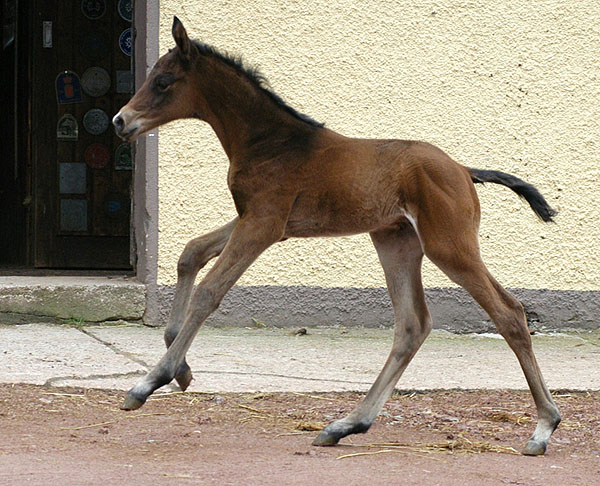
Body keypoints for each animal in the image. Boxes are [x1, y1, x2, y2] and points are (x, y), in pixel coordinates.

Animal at [113, 16, 564, 456]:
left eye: (163, 81)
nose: (120, 120)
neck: (269, 141)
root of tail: (464, 170)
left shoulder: (262, 223)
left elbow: (209, 290)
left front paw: (151, 381)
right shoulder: (259, 220)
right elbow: (190, 253)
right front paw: (182, 369)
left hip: (449, 246)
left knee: (508, 313)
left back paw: (544, 427)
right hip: (396, 242)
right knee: (412, 324)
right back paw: (346, 425)